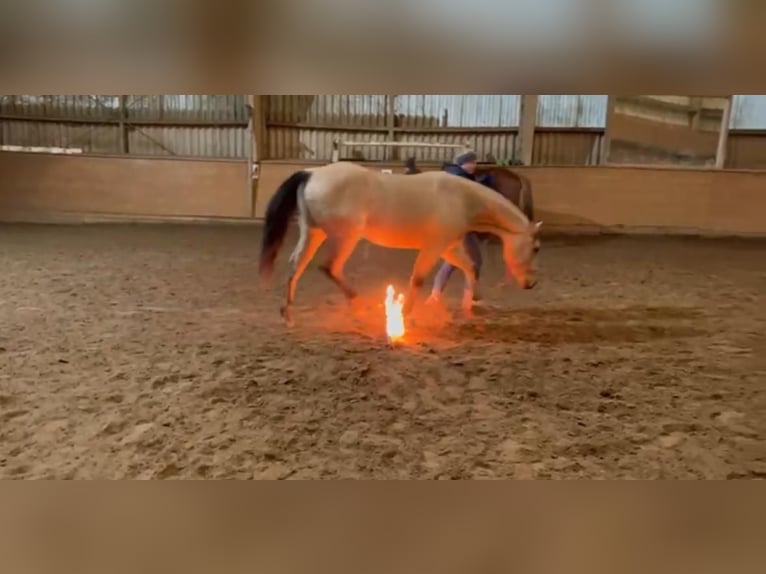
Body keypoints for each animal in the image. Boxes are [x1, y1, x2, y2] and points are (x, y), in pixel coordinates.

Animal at [260, 162, 544, 328]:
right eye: (536, 248)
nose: (531, 284)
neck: (461, 199)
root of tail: (312, 173)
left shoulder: (449, 248)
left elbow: (470, 268)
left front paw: (467, 310)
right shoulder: (433, 248)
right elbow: (418, 279)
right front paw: (406, 315)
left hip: (314, 234)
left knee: (297, 265)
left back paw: (288, 314)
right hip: (346, 238)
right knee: (329, 267)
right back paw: (357, 303)